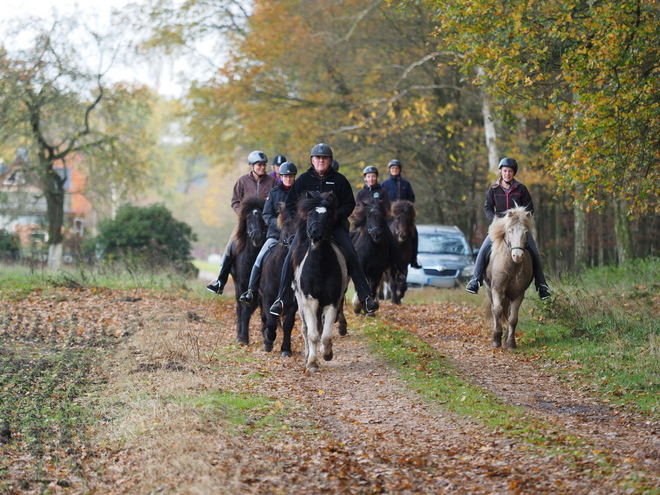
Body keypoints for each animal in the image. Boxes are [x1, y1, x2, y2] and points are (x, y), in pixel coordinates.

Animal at [290, 192, 348, 374]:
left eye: (327, 215)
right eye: (310, 214)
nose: (316, 234)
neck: (320, 266)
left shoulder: (332, 302)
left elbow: (326, 334)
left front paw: (327, 354)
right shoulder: (309, 301)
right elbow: (312, 334)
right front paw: (312, 363)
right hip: (301, 303)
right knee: (306, 329)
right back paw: (308, 355)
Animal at [484, 207, 536, 350]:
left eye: (526, 232)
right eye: (510, 231)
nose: (517, 256)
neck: (511, 266)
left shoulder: (518, 293)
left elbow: (513, 318)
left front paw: (511, 342)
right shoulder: (497, 289)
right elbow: (497, 311)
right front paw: (496, 339)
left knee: (508, 313)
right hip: (489, 290)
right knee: (495, 309)